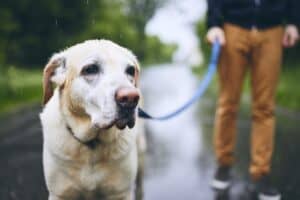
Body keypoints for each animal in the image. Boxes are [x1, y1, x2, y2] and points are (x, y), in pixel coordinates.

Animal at [40, 39, 146, 200]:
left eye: (130, 70)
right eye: (90, 69)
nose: (131, 98)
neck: (91, 144)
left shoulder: (120, 193)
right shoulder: (60, 193)